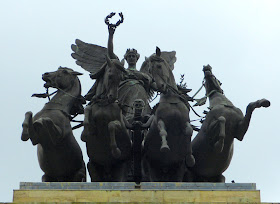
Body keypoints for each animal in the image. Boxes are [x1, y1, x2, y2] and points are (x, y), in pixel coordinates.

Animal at [142, 47, 195, 182]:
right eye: (150, 71)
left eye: (159, 66)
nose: (161, 86)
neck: (171, 100)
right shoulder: (160, 120)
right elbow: (163, 131)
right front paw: (165, 146)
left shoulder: (185, 121)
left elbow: (189, 131)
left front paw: (190, 157)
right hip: (151, 167)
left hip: (177, 169)